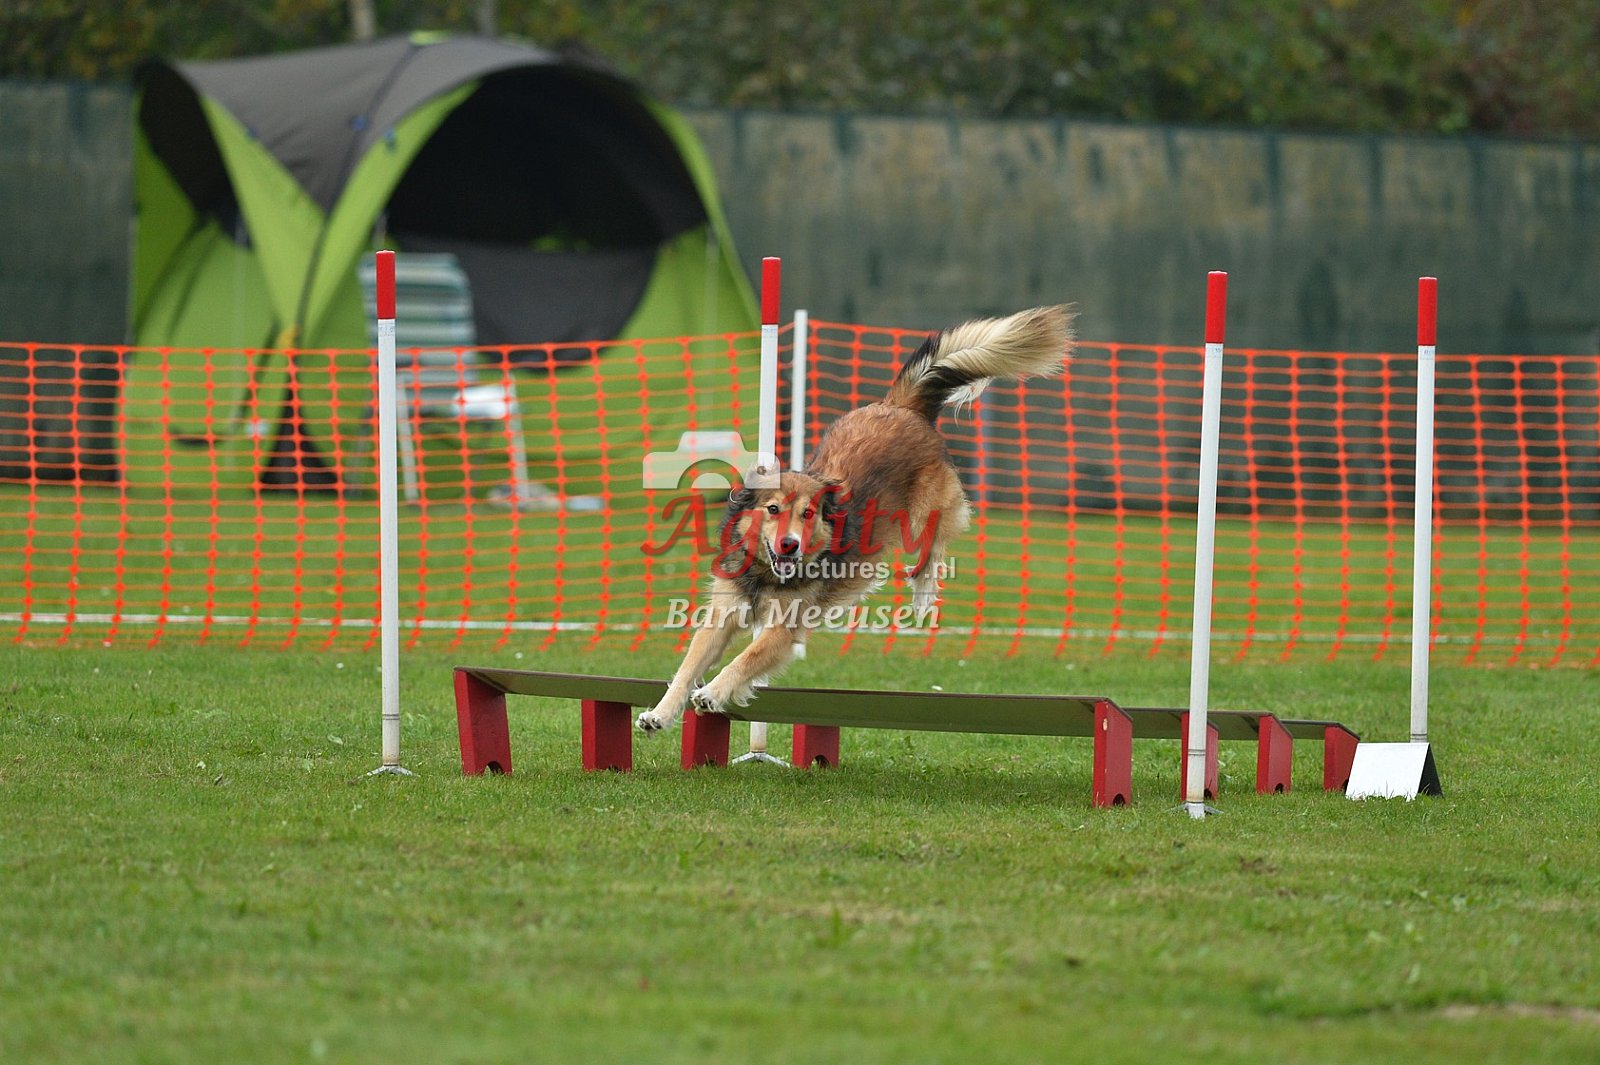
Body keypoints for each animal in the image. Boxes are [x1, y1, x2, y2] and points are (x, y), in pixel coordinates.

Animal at [635, 304, 1075, 733]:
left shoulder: (783, 628)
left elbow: (744, 659)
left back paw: (923, 593)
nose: (789, 545)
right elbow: (688, 666)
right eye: (773, 509)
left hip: (925, 511)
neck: (765, 575)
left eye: (808, 513)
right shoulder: (724, 612)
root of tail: (900, 406)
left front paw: (713, 692)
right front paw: (660, 713)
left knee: (934, 544)